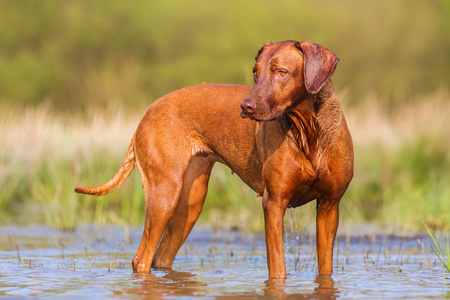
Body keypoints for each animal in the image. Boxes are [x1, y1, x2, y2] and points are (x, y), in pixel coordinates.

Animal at [76, 40, 352, 278]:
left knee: (161, 256)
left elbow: (325, 269)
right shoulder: (274, 203)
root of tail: (147, 111)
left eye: (282, 72)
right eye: (255, 72)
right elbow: (278, 270)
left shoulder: (330, 205)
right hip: (164, 194)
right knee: (141, 259)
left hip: (191, 201)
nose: (246, 106)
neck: (309, 133)